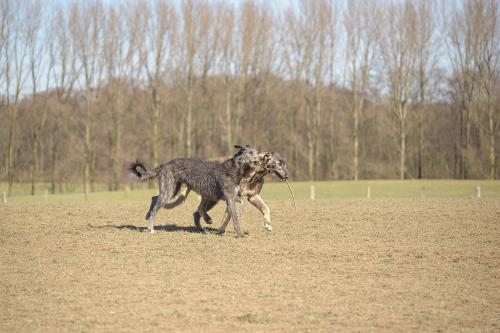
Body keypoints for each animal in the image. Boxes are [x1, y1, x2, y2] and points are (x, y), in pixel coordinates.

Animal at [129, 145, 260, 236]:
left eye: (257, 152)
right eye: (250, 153)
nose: (259, 159)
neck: (233, 169)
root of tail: (165, 164)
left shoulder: (230, 196)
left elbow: (242, 201)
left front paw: (240, 213)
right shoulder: (229, 197)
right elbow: (235, 217)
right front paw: (240, 233)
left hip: (173, 189)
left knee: (154, 198)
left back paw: (148, 216)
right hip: (169, 190)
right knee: (156, 205)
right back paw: (151, 228)